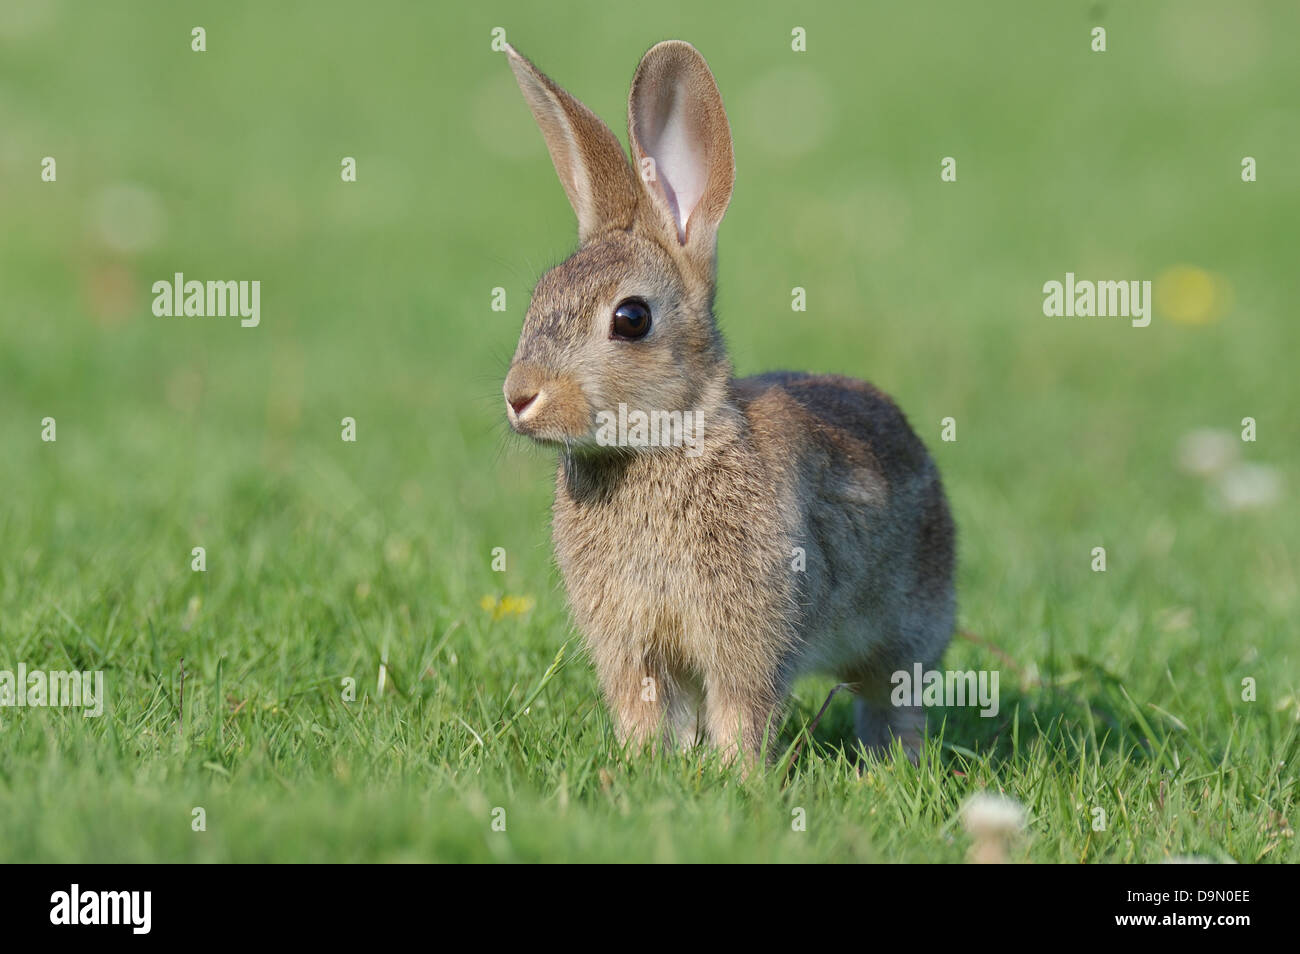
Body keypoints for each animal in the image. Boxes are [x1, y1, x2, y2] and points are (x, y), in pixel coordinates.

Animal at [501, 40, 956, 766]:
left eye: (631, 318)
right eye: (541, 296)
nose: (520, 397)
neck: (666, 440)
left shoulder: (749, 635)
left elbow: (743, 709)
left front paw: (737, 776)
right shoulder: (636, 649)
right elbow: (646, 710)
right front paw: (645, 767)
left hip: (909, 630)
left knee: (893, 699)